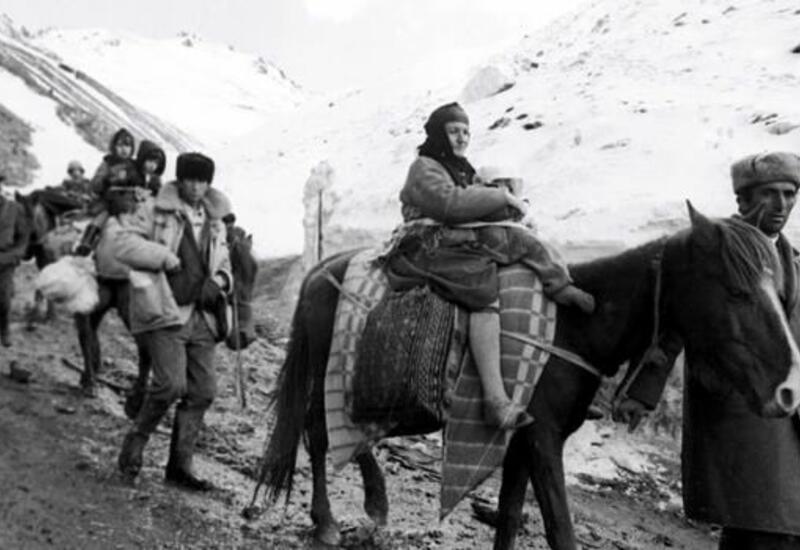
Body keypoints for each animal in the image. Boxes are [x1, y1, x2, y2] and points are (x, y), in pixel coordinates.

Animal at [255, 205, 800, 550]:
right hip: (327, 377)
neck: (578, 325)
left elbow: (510, 518)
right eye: (736, 291)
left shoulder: (519, 443)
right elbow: (560, 531)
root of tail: (321, 268)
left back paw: (369, 503)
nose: (787, 391)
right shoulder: (543, 440)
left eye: (776, 290)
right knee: (320, 434)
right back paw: (333, 519)